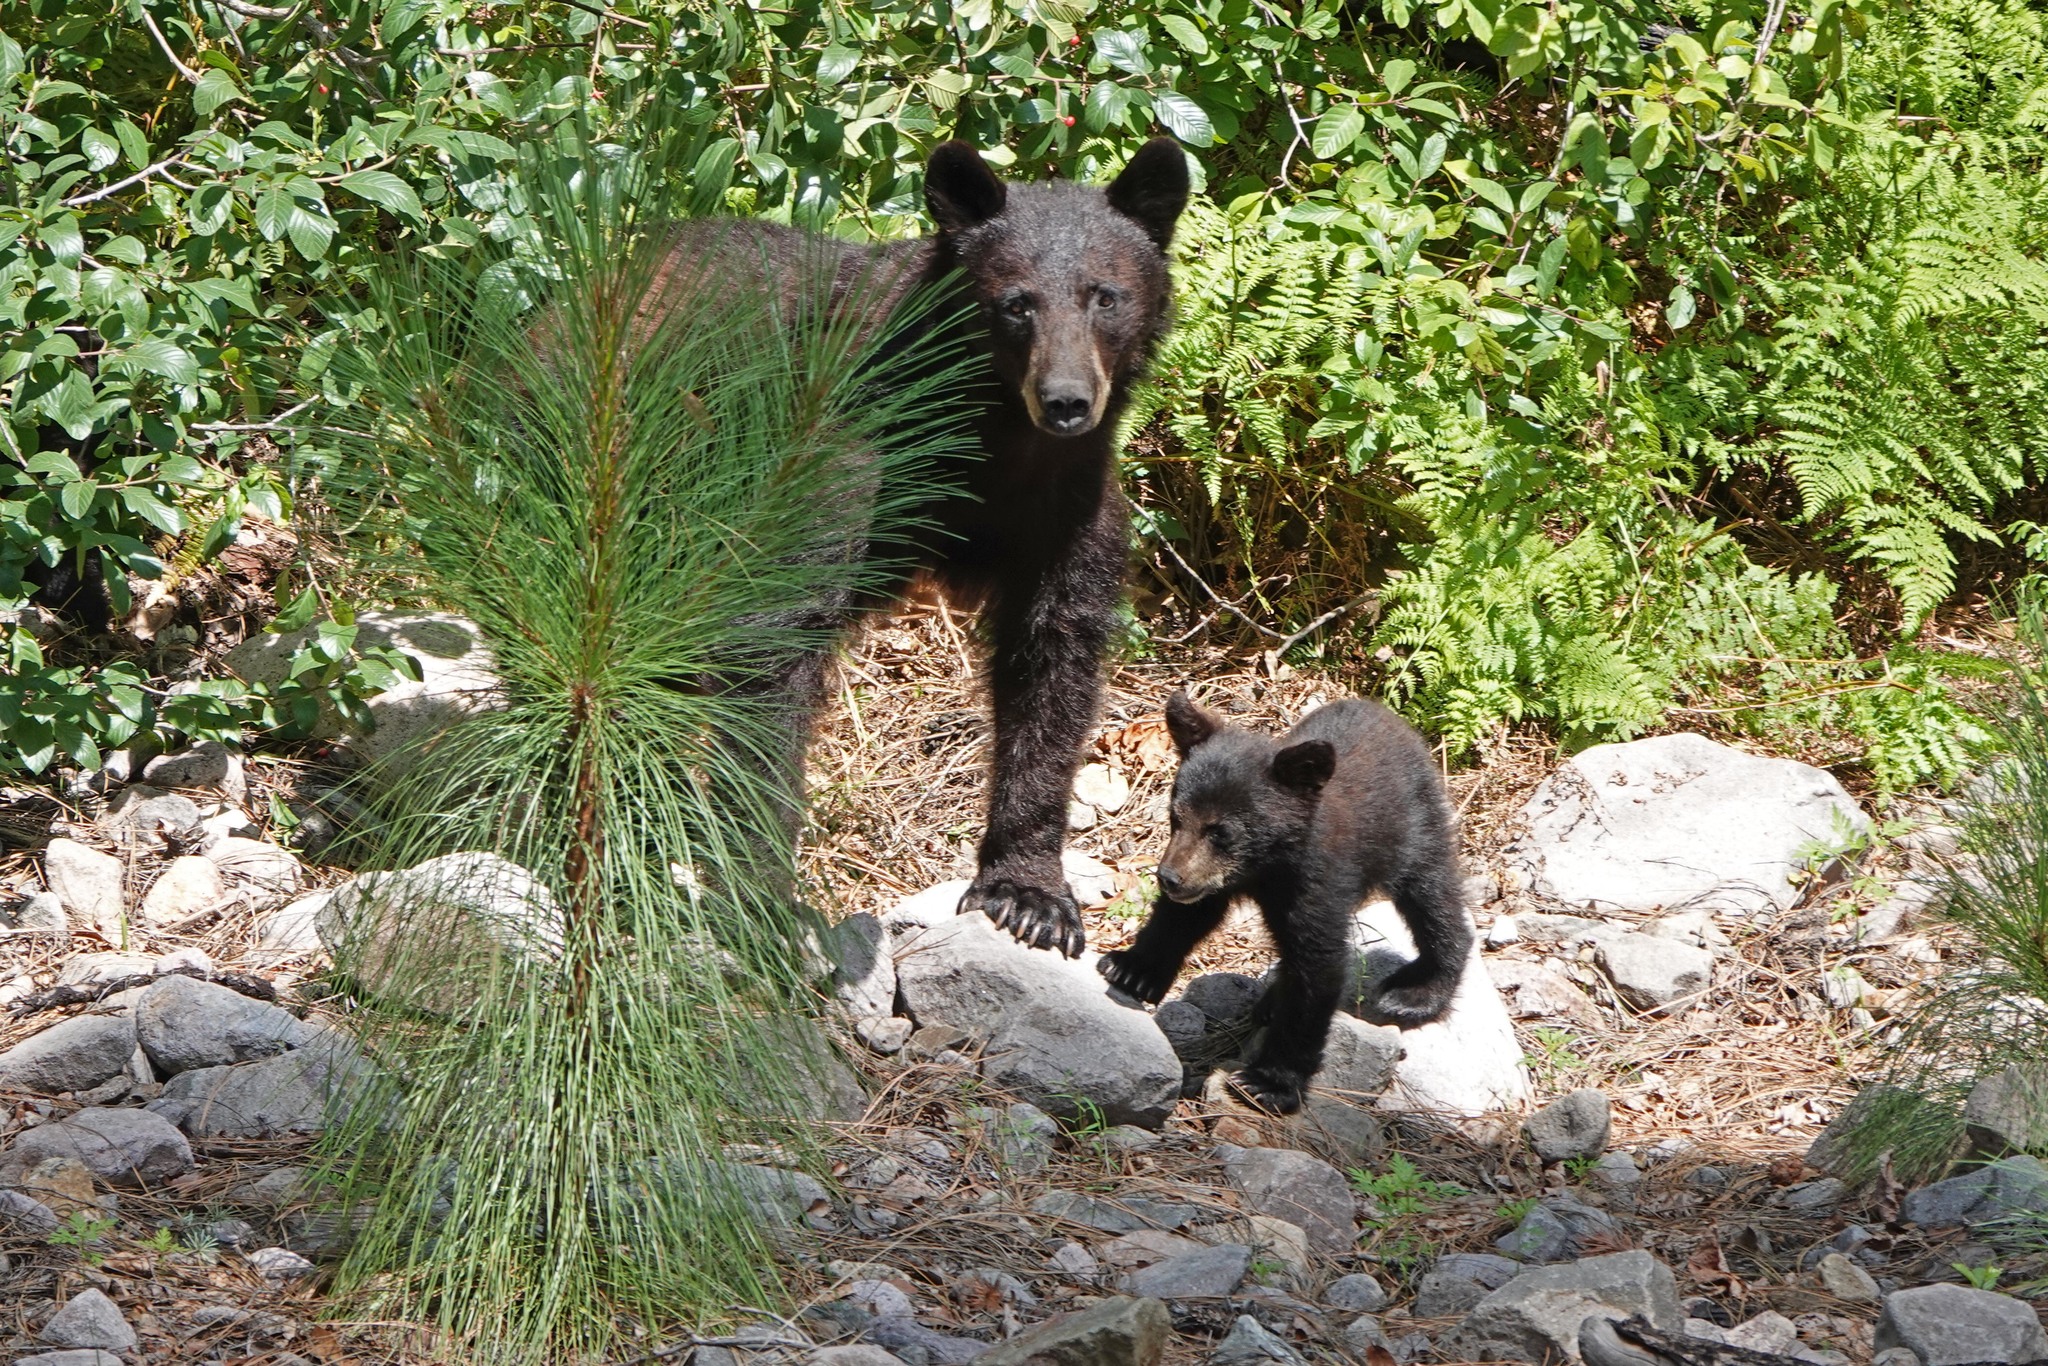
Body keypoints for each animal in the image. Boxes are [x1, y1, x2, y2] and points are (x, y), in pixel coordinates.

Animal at [634, 136, 1187, 950]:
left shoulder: (1070, 503)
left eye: (1104, 294)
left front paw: (1029, 893)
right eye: (1016, 301)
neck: (993, 436)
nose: (1066, 401)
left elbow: (1054, 661)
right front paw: (759, 888)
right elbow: (776, 641)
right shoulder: (846, 452)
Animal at [1105, 696, 1474, 1114]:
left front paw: (1269, 1082)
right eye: (1175, 817)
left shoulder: (1315, 883)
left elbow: (1316, 970)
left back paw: (1419, 992)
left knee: (1433, 896)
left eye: (1221, 831)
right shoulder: (1214, 882)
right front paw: (1131, 970)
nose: (1169, 878)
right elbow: (1185, 917)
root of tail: (1390, 717)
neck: (1266, 868)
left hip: (1412, 827)